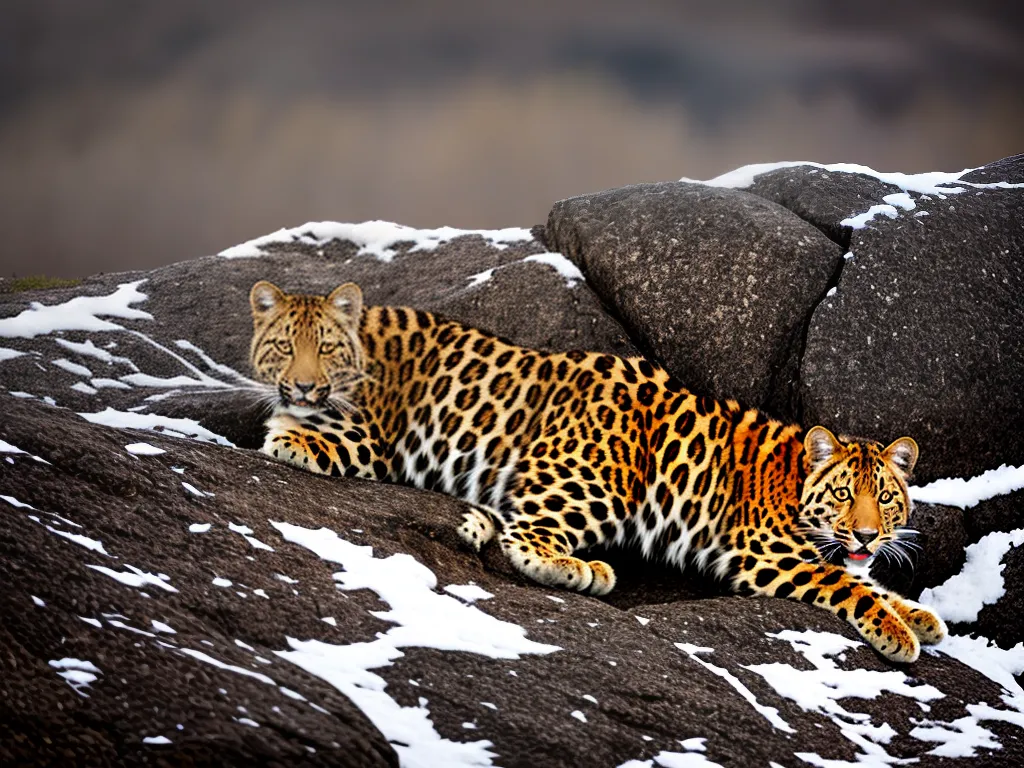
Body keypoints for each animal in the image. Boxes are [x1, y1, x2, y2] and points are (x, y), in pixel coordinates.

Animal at [249, 279, 946, 663]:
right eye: (843, 495)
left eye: (886, 499)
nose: (867, 534)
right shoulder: (767, 554)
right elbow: (848, 585)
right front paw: (896, 630)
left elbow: (866, 578)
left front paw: (918, 615)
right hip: (604, 477)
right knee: (521, 536)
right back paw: (584, 569)